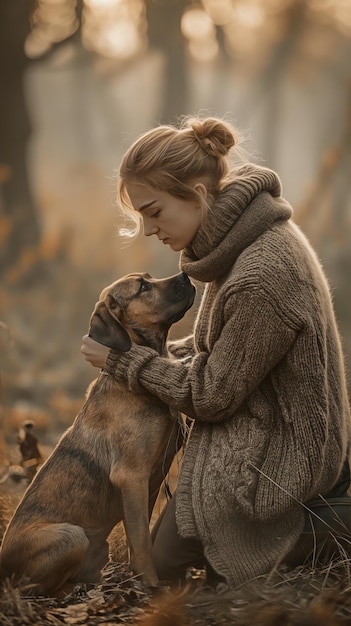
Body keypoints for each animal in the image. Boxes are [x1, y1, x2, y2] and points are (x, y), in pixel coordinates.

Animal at [0, 270, 197, 592]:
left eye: (149, 278)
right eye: (143, 287)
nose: (185, 275)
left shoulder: (148, 482)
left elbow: (138, 535)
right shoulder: (131, 476)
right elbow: (142, 542)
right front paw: (151, 585)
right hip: (71, 536)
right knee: (32, 587)